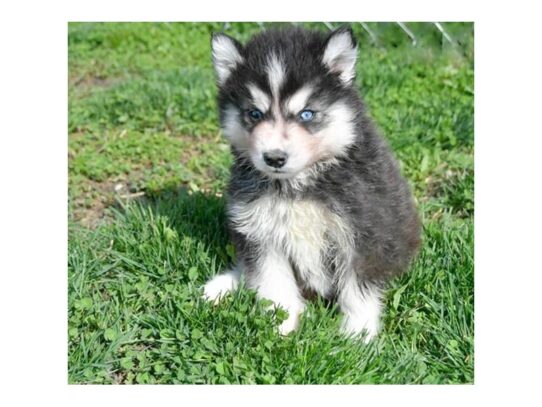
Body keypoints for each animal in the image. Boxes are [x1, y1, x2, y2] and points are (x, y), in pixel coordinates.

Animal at [204, 27, 420, 342]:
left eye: (306, 114)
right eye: (254, 114)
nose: (274, 158)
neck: (298, 186)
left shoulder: (362, 234)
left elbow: (357, 290)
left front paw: (358, 336)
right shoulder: (260, 232)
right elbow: (272, 282)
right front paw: (281, 326)